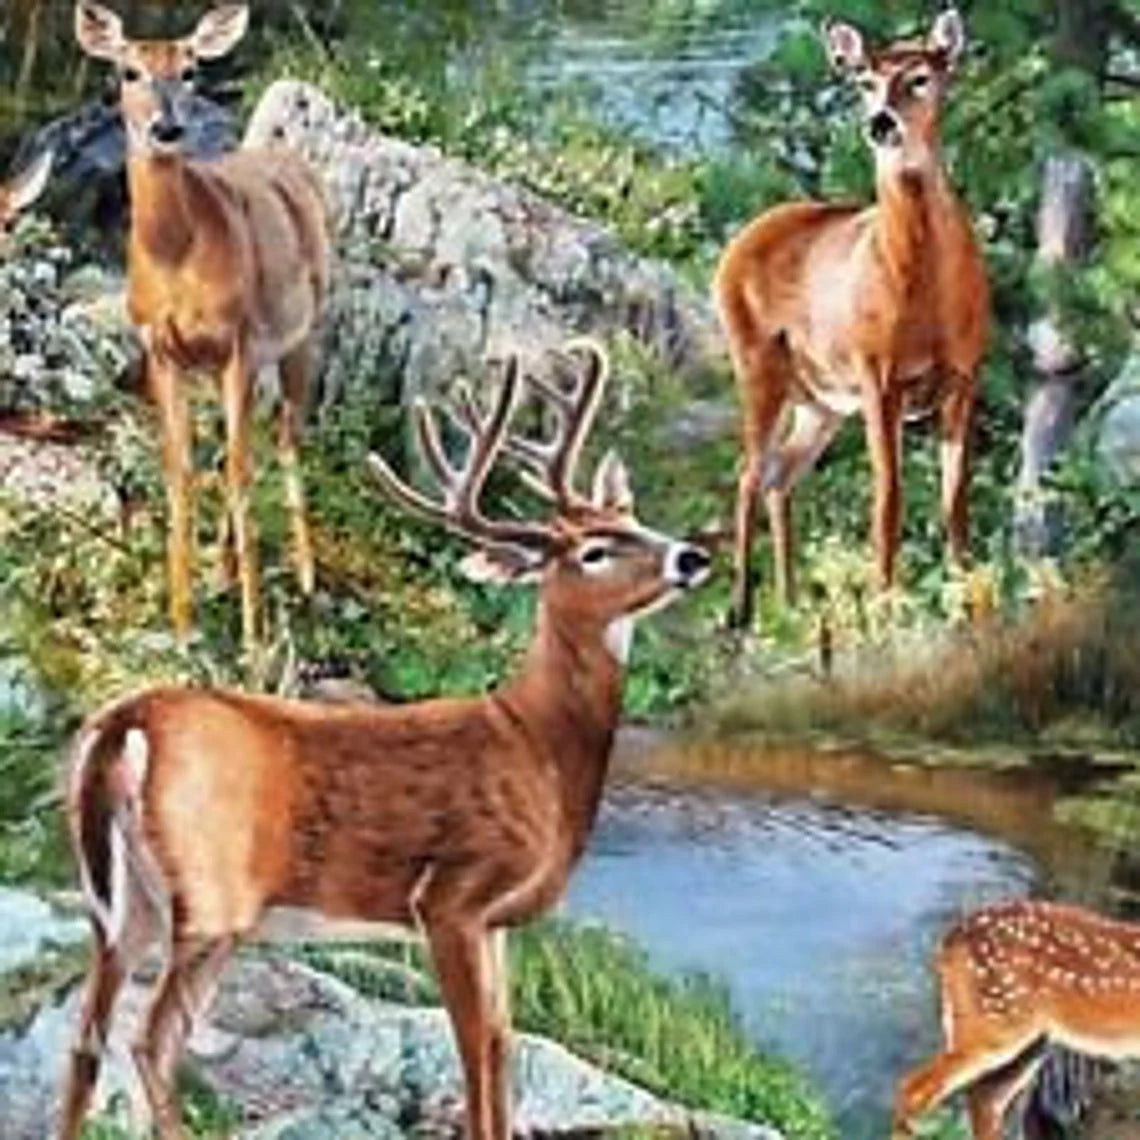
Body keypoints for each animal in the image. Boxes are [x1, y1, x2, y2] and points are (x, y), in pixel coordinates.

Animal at [55, 340, 711, 1140]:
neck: (538, 747)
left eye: (636, 519)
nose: (691, 557)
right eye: (592, 550)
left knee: (86, 1041)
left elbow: (503, 1045)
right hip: (211, 899)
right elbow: (476, 1053)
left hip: (117, 909)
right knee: (153, 1041)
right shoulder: (453, 896)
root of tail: (124, 725)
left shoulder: (497, 924)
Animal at [75, 2, 331, 650]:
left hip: (302, 333)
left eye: (190, 71)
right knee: (245, 443)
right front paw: (182, 623)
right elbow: (182, 471)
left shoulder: (237, 341)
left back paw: (306, 580)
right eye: (128, 71)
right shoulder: (163, 351)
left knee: (286, 437)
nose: (166, 128)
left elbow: (239, 473)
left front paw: (253, 634)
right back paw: (225, 571)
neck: (176, 255)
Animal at [716, 8, 989, 629]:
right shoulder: (877, 374)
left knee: (779, 477)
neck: (927, 296)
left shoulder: (965, 375)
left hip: (820, 401)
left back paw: (791, 604)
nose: (881, 123)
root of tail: (743, 237)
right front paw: (887, 605)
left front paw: (967, 594)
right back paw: (741, 610)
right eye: (865, 81)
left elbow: (955, 496)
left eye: (920, 77)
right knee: (748, 473)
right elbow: (888, 497)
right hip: (758, 365)